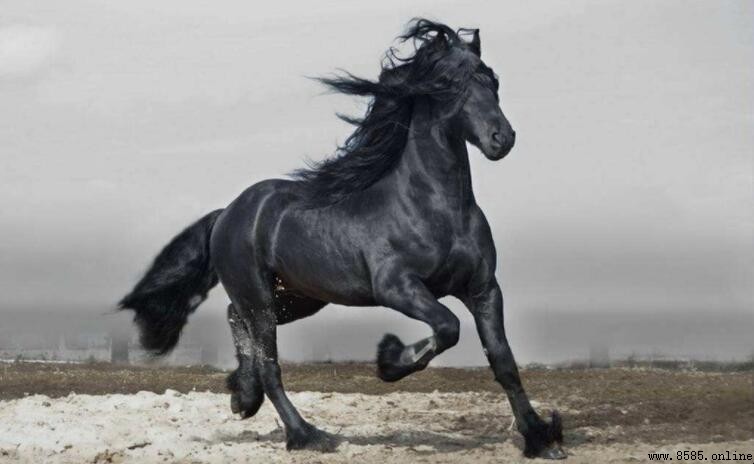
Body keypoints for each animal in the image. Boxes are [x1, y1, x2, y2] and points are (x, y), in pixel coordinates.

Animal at [119, 19, 565, 459]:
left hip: (297, 298)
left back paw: (243, 397)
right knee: (269, 363)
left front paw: (540, 438)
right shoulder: (396, 287)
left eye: (492, 80)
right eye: (451, 84)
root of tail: (228, 213)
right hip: (260, 297)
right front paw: (389, 360)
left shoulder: (484, 288)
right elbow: (447, 326)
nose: (501, 138)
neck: (435, 208)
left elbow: (503, 361)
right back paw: (307, 434)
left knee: (234, 317)